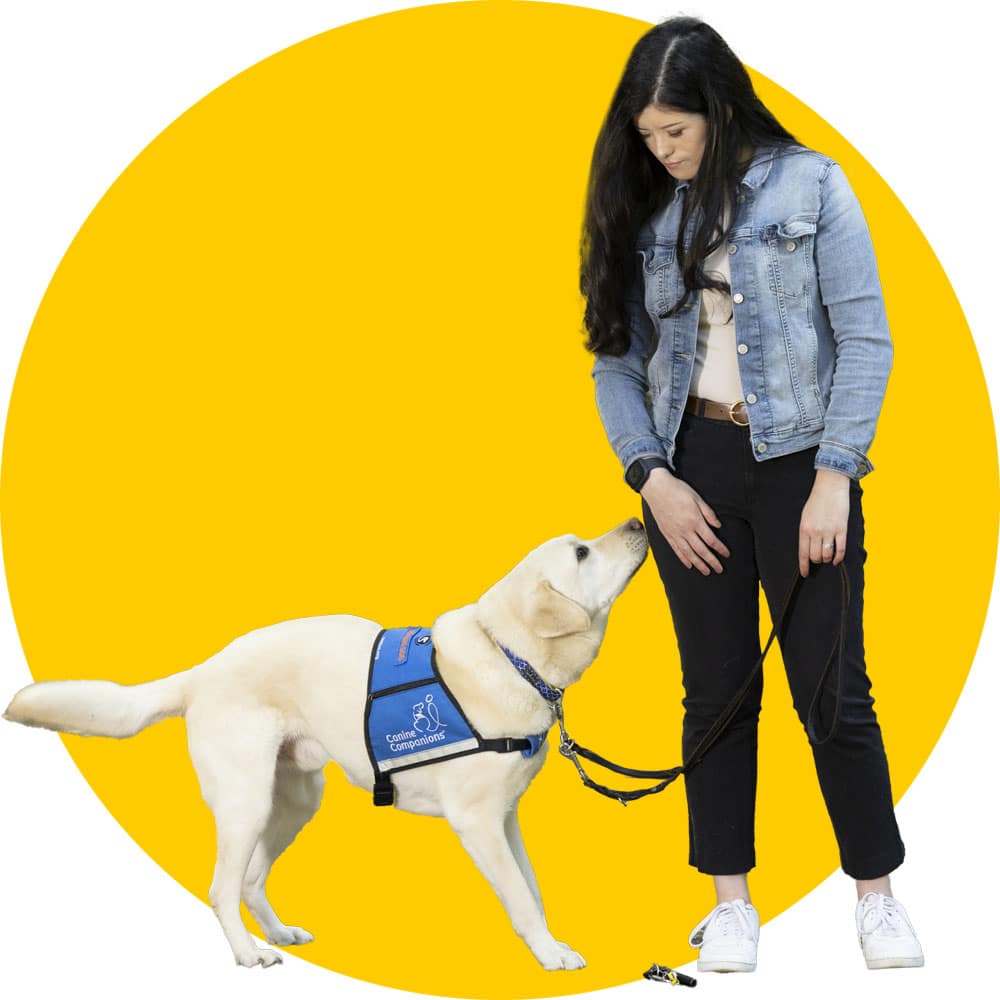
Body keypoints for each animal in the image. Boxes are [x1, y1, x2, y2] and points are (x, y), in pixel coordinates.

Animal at [5, 520, 648, 972]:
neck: (508, 653)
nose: (638, 521)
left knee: (249, 879)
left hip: (294, 801)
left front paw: (551, 943)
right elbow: (519, 894)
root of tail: (204, 669)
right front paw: (549, 954)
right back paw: (249, 953)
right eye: (582, 553)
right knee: (221, 887)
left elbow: (532, 888)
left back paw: (278, 933)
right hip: (247, 802)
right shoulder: (479, 822)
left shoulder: (507, 819)